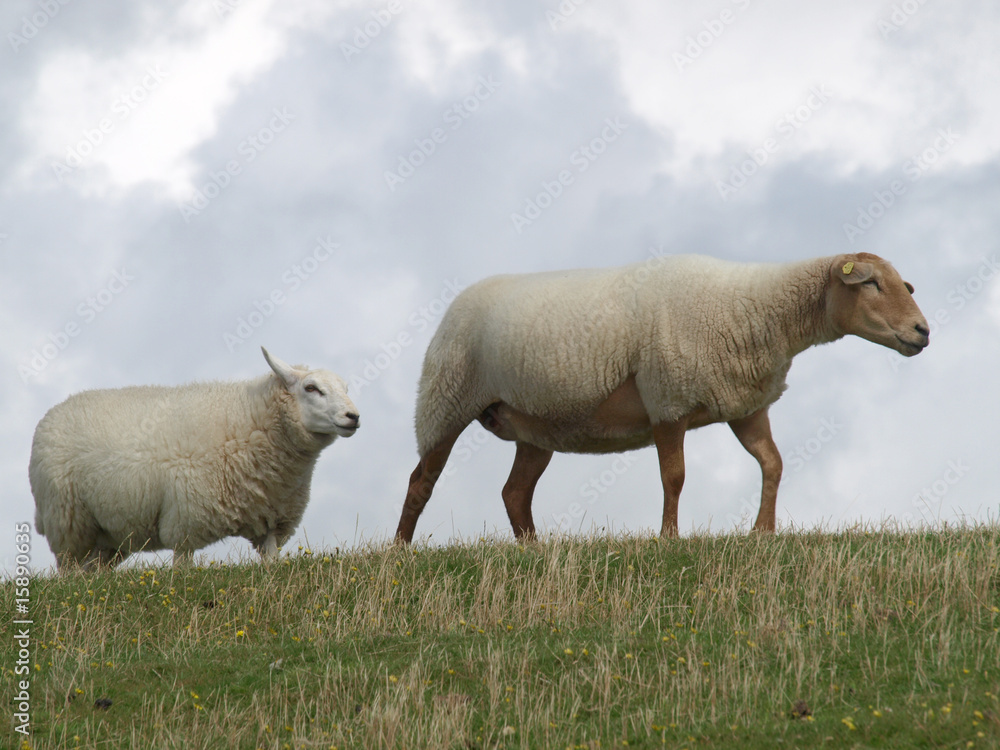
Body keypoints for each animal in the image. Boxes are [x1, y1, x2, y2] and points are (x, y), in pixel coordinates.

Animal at [30, 347, 359, 570]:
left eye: (345, 388)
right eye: (311, 388)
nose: (353, 416)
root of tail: (52, 414)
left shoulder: (272, 519)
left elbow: (270, 560)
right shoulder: (185, 519)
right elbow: (182, 568)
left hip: (107, 535)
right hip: (67, 520)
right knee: (69, 571)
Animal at [395, 252, 929, 542]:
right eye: (872, 283)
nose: (923, 331)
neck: (754, 308)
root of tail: (458, 301)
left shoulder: (745, 405)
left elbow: (772, 464)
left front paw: (763, 532)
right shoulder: (667, 399)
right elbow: (674, 476)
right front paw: (669, 537)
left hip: (536, 424)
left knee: (514, 493)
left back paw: (534, 550)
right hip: (445, 400)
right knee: (421, 482)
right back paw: (400, 550)